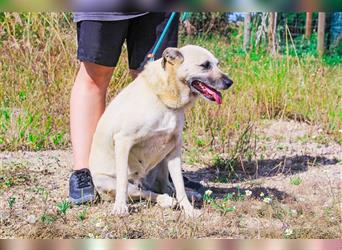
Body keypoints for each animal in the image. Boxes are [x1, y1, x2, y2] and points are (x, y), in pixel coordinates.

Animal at [89, 46, 232, 218]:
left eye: (218, 64)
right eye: (205, 65)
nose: (230, 82)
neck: (164, 98)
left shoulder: (174, 148)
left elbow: (180, 185)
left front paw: (189, 210)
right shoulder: (123, 141)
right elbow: (123, 182)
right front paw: (120, 207)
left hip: (161, 162)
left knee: (165, 187)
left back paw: (187, 195)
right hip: (109, 181)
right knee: (143, 191)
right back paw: (165, 200)